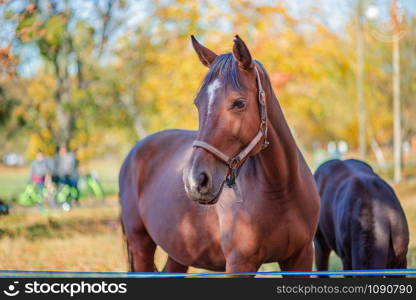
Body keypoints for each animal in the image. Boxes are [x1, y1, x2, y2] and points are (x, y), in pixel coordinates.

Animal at [118, 35, 320, 276]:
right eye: (198, 103)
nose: (195, 181)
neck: (281, 189)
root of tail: (135, 151)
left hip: (179, 252)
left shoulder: (300, 257)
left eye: (239, 103)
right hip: (140, 246)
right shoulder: (239, 263)